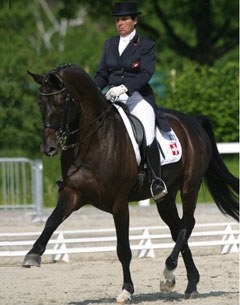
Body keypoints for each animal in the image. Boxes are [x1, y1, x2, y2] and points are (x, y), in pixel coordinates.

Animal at [23, 63, 239, 302]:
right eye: (40, 103)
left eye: (61, 102)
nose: (49, 148)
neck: (94, 139)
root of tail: (193, 122)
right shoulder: (73, 193)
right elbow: (51, 221)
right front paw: (33, 255)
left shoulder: (119, 203)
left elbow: (123, 250)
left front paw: (126, 290)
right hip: (165, 197)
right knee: (177, 228)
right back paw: (188, 283)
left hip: (189, 186)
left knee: (186, 225)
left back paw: (168, 273)